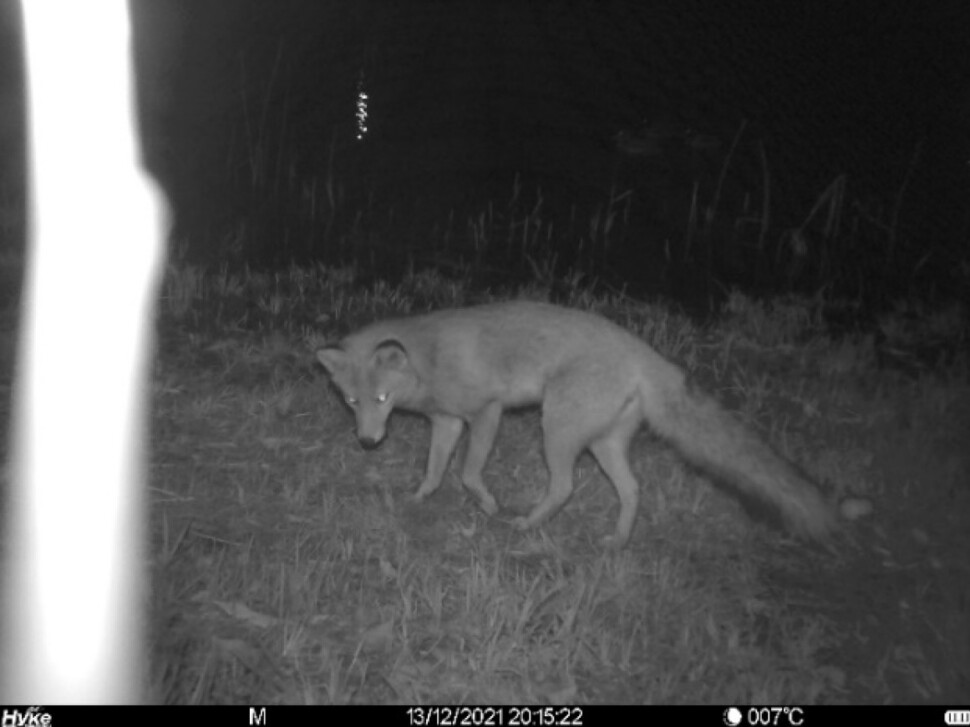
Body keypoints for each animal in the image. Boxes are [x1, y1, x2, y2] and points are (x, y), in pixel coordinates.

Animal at [314, 298, 836, 548]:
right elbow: (434, 470)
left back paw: (526, 525)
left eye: (382, 399)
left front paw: (487, 505)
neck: (429, 360)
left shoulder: (486, 412)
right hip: (603, 444)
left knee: (564, 487)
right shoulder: (447, 422)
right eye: (352, 401)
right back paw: (618, 542)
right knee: (633, 490)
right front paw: (418, 499)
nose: (368, 441)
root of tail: (644, 354)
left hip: (557, 430)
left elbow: (467, 472)